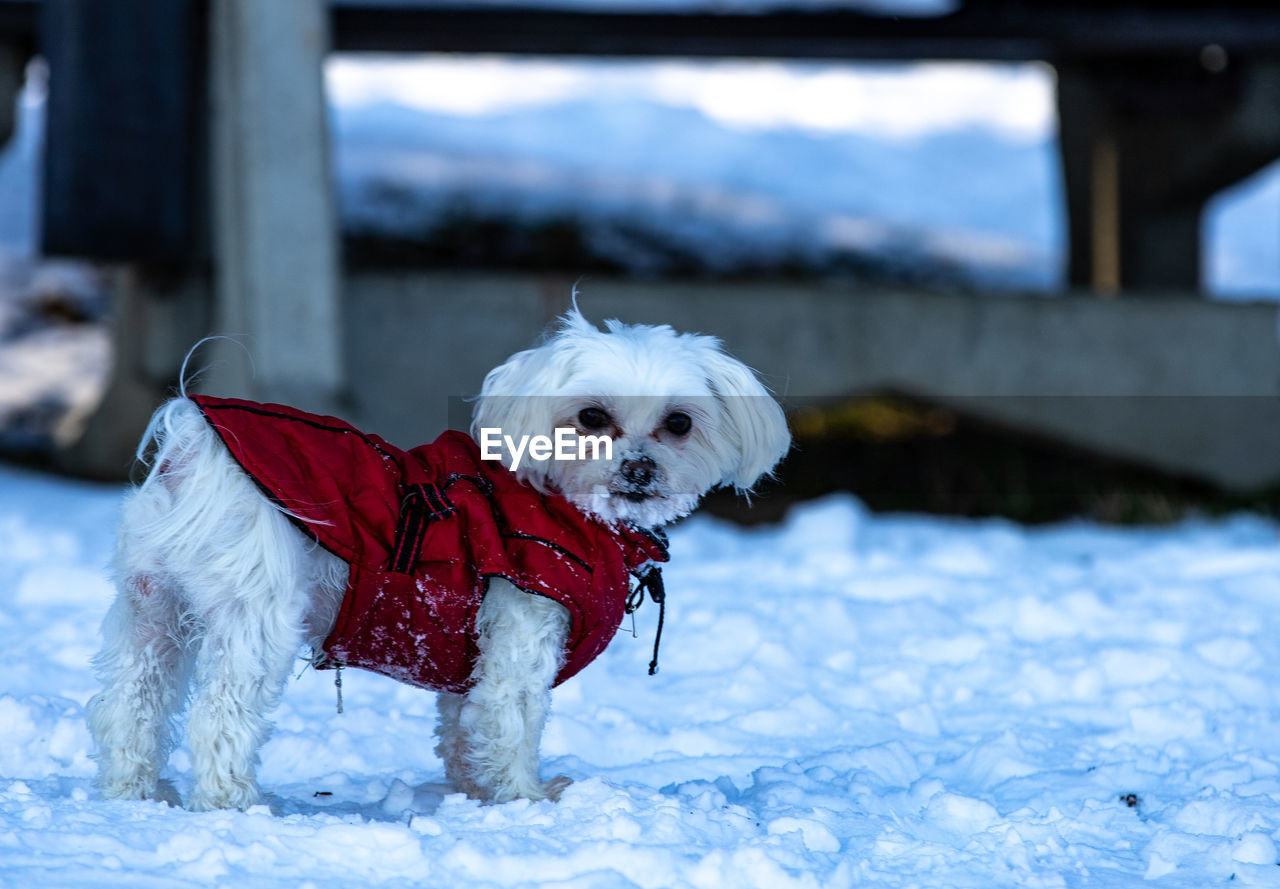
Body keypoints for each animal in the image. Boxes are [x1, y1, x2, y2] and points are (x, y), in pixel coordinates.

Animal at [87, 308, 788, 813]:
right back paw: (230, 805)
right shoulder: (524, 625)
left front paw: (474, 791)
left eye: (679, 423)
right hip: (254, 617)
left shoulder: (470, 651)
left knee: (130, 706)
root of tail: (196, 449)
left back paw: (133, 794)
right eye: (591, 416)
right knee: (219, 719)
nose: (640, 470)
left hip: (150, 610)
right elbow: (511, 720)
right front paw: (526, 799)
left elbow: (464, 726)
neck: (562, 507)